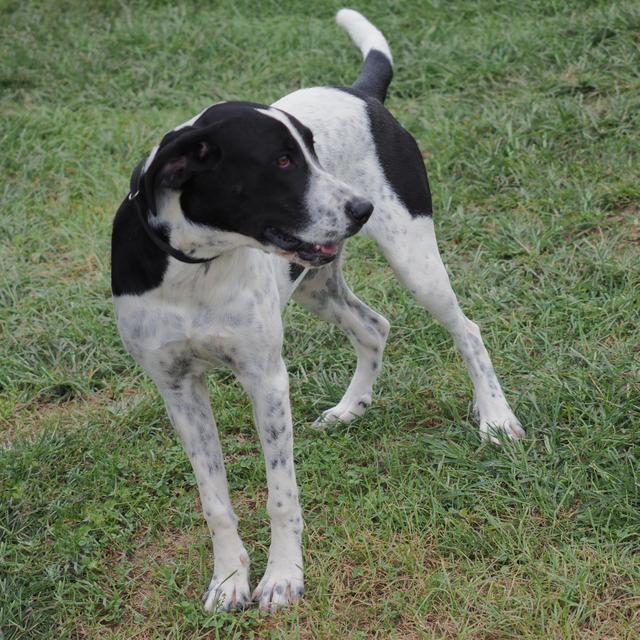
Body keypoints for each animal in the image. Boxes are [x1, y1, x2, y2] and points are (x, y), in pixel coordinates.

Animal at [111, 6, 524, 616]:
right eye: (282, 161)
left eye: (310, 151)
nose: (361, 207)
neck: (195, 269)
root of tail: (359, 92)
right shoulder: (178, 388)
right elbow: (214, 501)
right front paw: (228, 579)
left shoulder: (265, 377)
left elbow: (281, 496)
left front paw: (282, 577)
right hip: (313, 283)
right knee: (374, 327)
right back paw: (351, 408)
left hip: (415, 261)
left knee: (466, 330)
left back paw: (495, 417)